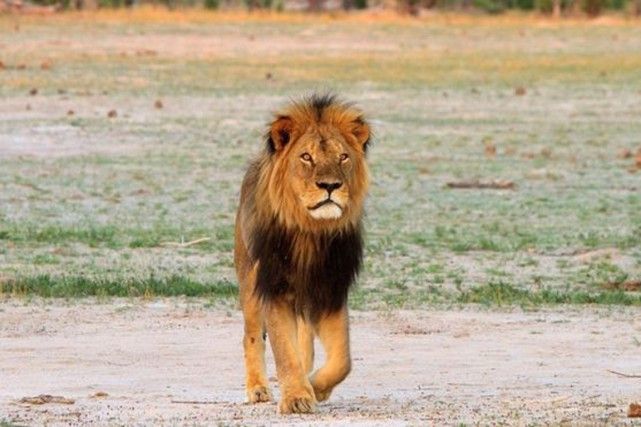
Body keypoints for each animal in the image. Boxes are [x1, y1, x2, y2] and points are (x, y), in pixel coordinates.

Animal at [233, 94, 371, 414]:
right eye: (306, 157)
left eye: (343, 157)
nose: (330, 186)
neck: (311, 230)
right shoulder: (274, 288)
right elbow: (284, 351)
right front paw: (296, 397)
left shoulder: (331, 290)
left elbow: (342, 360)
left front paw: (315, 388)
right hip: (249, 283)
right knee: (251, 336)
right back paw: (257, 389)